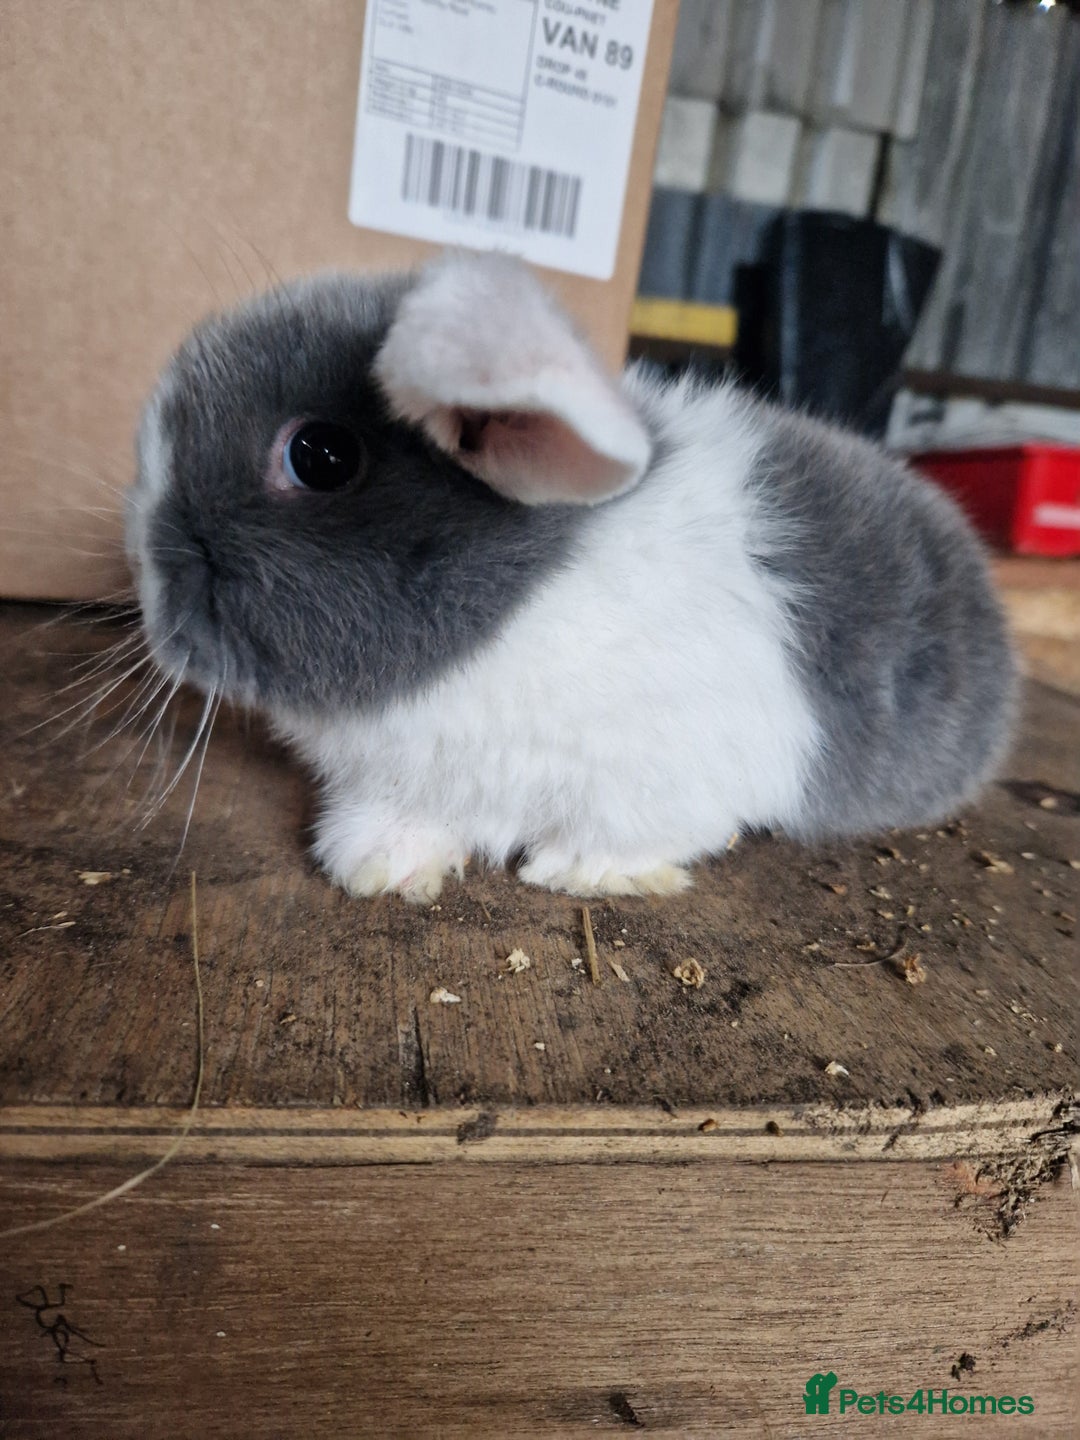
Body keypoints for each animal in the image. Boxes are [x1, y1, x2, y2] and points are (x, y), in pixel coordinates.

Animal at [126, 249, 1016, 903]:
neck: (521, 608)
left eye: (319, 456)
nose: (148, 586)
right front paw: (378, 866)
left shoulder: (676, 769)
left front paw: (580, 871)